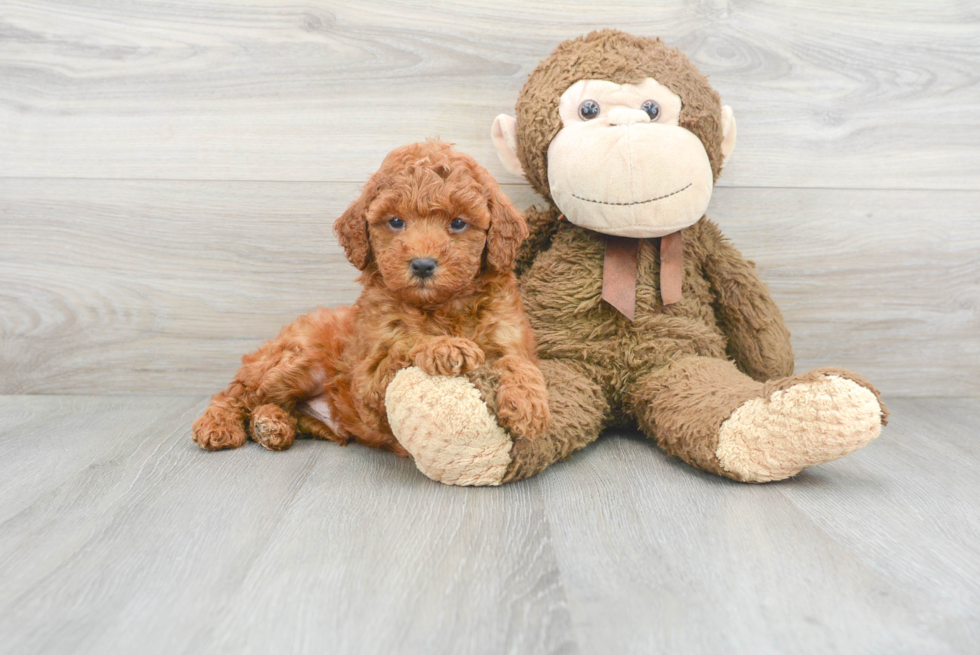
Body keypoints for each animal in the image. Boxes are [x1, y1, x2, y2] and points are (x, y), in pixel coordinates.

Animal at [191, 139, 552, 456]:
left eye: (459, 223)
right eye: (395, 221)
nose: (423, 264)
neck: (442, 306)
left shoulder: (509, 334)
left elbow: (517, 362)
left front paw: (528, 404)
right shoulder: (367, 379)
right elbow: (404, 345)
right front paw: (444, 347)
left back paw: (271, 424)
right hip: (297, 358)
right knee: (238, 392)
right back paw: (219, 425)